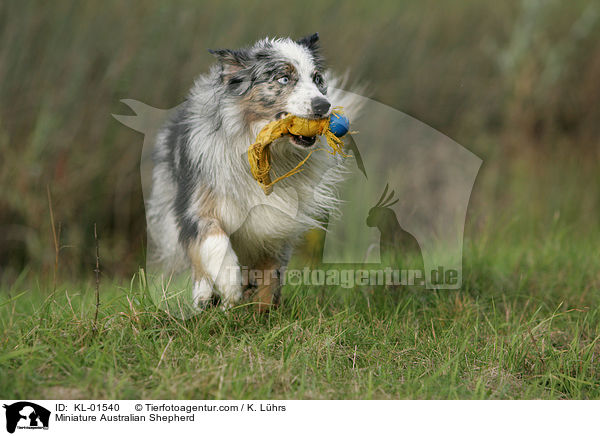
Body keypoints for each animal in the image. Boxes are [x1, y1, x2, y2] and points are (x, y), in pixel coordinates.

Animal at [145, 35, 360, 314]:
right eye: (283, 78)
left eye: (317, 78)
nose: (324, 105)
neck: (268, 152)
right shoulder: (198, 205)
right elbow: (214, 240)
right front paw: (229, 286)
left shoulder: (276, 222)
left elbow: (271, 273)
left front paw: (263, 312)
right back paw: (205, 297)